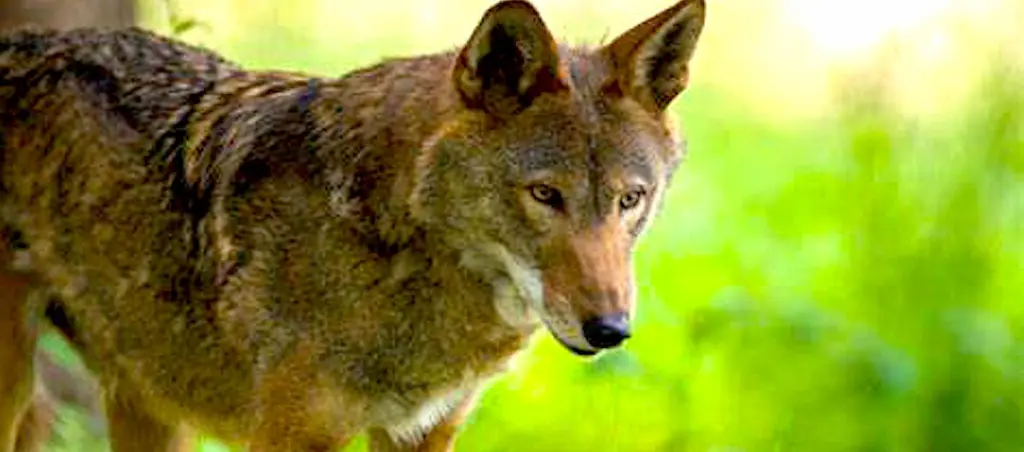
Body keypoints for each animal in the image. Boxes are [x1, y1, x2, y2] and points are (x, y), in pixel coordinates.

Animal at [0, 0, 706, 450]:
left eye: (630, 199)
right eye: (544, 194)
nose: (610, 330)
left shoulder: (422, 436)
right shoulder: (289, 439)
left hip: (150, 403)